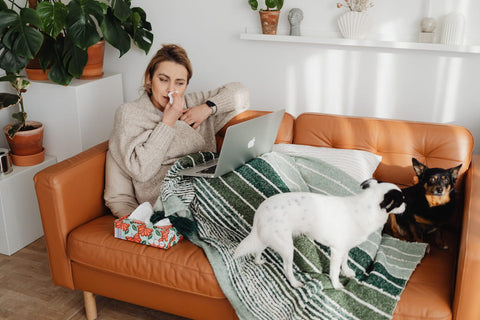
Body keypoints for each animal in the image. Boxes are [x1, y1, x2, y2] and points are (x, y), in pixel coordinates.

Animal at [234, 179, 406, 288]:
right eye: (401, 201)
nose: (406, 205)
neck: (365, 207)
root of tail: (259, 213)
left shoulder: (345, 248)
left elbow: (345, 261)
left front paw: (347, 272)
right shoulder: (337, 250)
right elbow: (335, 271)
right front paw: (337, 285)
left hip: (268, 238)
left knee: (257, 250)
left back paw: (258, 261)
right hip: (287, 247)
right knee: (287, 269)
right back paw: (294, 283)